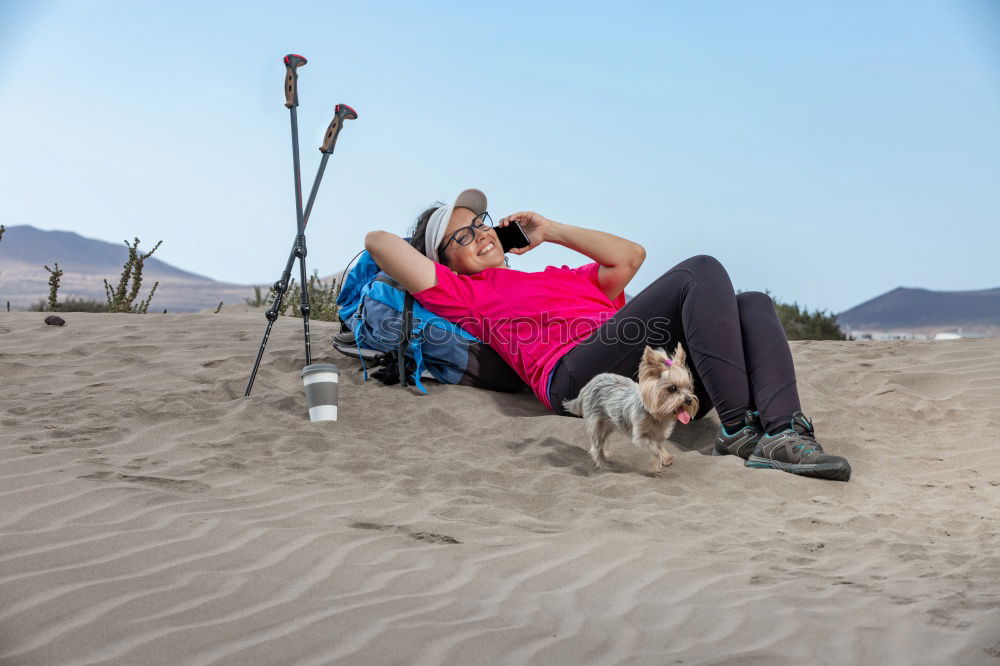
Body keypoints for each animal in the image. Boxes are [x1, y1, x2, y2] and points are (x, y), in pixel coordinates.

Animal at [568, 342, 700, 472]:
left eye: (688, 387)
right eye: (672, 388)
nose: (689, 400)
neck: (658, 417)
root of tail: (588, 385)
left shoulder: (660, 435)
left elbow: (659, 445)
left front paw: (665, 458)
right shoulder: (640, 436)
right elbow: (654, 447)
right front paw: (657, 464)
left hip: (608, 425)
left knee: (600, 442)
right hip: (596, 424)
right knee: (596, 445)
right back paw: (602, 463)